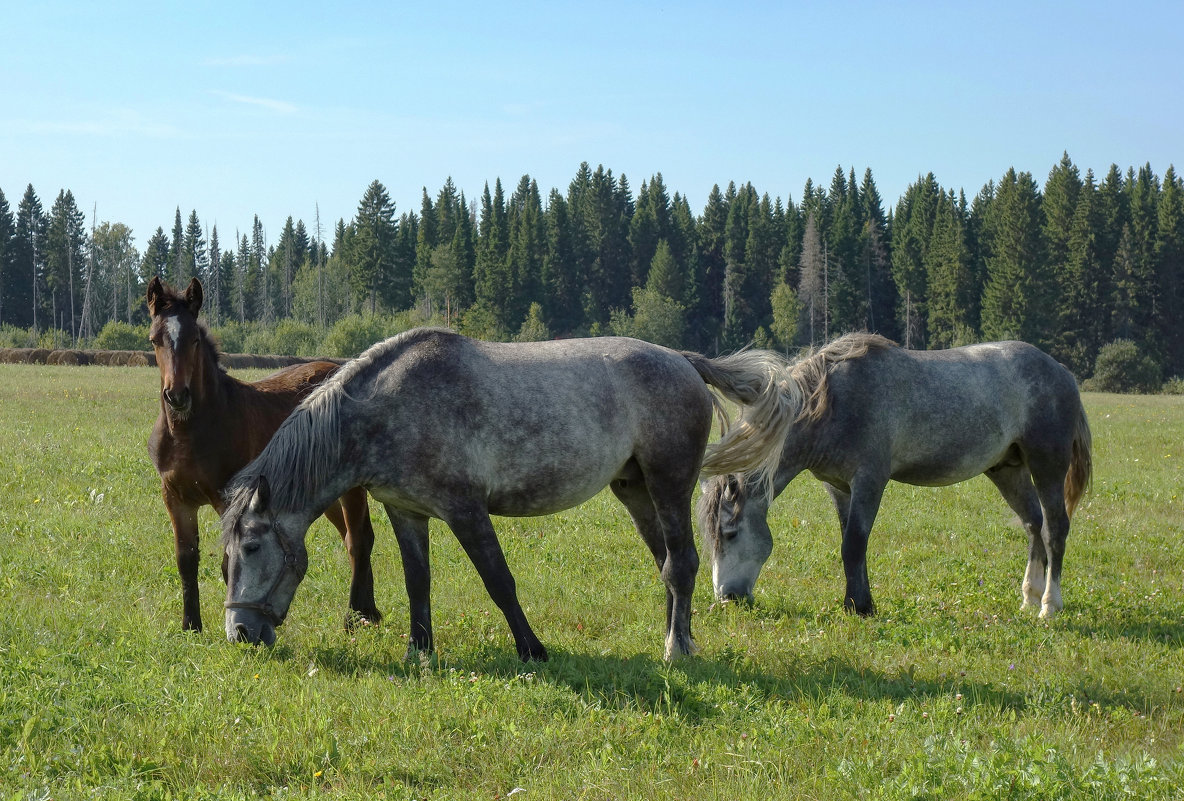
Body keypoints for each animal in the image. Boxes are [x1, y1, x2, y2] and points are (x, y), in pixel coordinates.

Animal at [145, 278, 381, 634]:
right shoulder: (174, 498)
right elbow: (185, 558)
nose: (177, 396)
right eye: (154, 339)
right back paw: (370, 612)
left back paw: (356, 617)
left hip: (350, 487)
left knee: (359, 539)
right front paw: (191, 625)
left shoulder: (229, 499)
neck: (190, 431)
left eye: (195, 339)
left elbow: (230, 561)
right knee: (351, 537)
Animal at [691, 331, 1089, 619]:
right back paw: (1029, 597)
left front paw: (859, 607)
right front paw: (859, 601)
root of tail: (1061, 371)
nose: (726, 598)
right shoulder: (838, 487)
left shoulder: (870, 481)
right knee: (1033, 524)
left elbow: (854, 543)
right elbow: (851, 544)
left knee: (1055, 528)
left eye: (730, 532)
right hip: (1007, 470)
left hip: (1047, 465)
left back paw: (1049, 605)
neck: (832, 403)